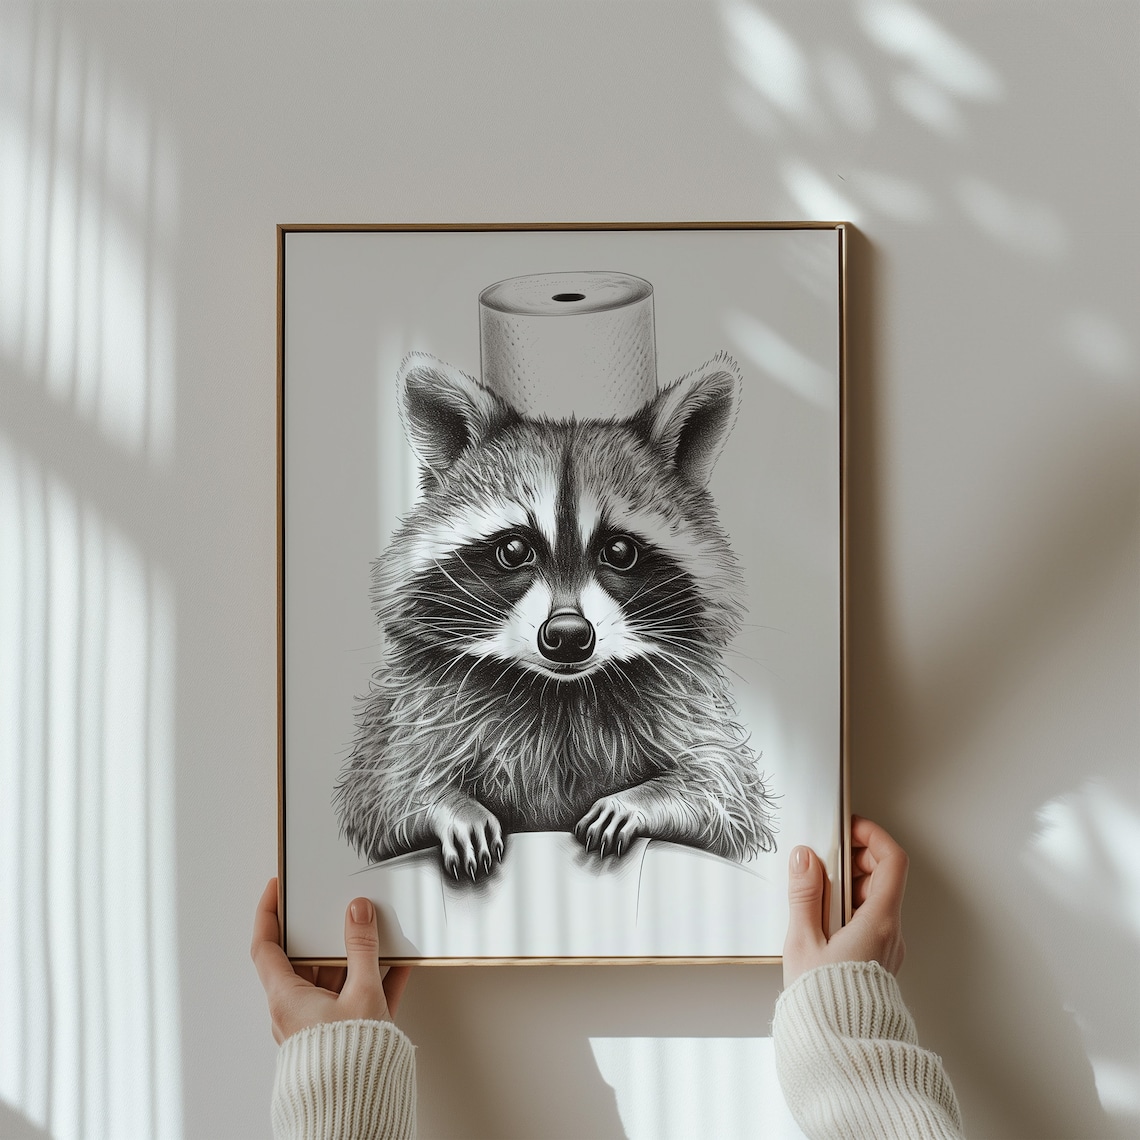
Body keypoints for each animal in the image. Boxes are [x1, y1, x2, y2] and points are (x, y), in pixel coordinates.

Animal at [333, 350, 778, 880]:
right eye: (514, 550)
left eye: (619, 551)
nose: (567, 635)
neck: (560, 693)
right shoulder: (416, 709)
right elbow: (382, 791)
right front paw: (447, 805)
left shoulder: (687, 708)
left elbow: (725, 791)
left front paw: (642, 798)